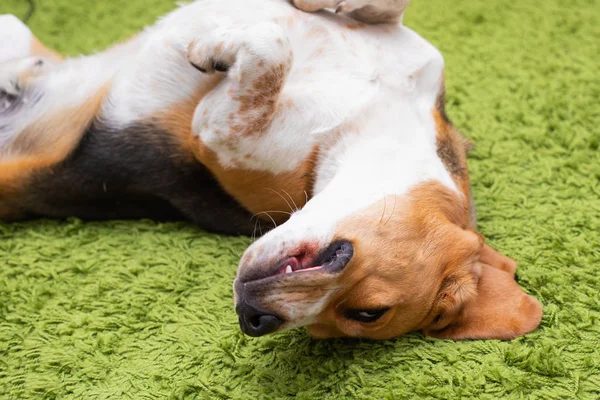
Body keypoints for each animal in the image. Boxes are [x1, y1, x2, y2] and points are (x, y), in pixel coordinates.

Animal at [1, 0, 544, 340]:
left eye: (363, 315)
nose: (252, 319)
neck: (383, 114)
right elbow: (379, 10)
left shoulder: (219, 133)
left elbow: (269, 48)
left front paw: (223, 47)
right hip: (14, 27)